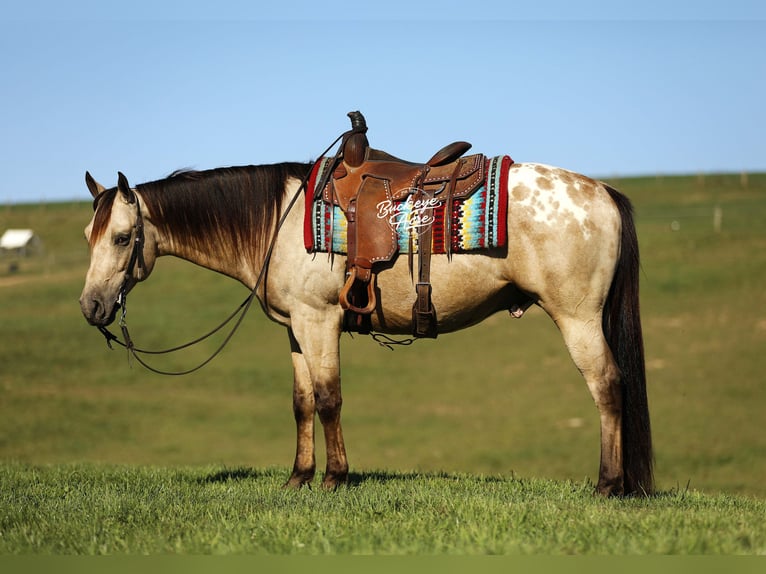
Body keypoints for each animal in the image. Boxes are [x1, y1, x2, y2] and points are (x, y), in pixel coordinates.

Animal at [79, 154, 653, 497]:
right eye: (89, 234)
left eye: (123, 237)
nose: (91, 307)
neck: (278, 221)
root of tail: (603, 192)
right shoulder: (296, 328)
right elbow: (302, 402)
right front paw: (298, 477)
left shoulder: (320, 321)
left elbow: (330, 398)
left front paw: (335, 478)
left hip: (578, 318)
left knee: (608, 387)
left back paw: (608, 485)